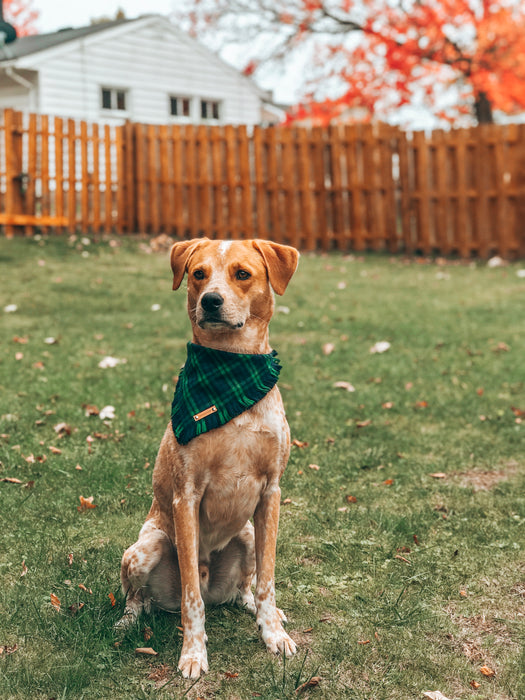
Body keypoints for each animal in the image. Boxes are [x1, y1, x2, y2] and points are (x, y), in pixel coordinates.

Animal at [118, 239, 298, 680]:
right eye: (198, 274)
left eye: (242, 274)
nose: (211, 301)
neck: (232, 368)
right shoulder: (186, 495)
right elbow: (190, 599)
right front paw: (193, 654)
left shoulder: (271, 492)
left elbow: (268, 579)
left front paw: (273, 633)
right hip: (145, 547)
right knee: (140, 596)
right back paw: (128, 620)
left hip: (246, 535)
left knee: (244, 587)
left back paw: (256, 608)